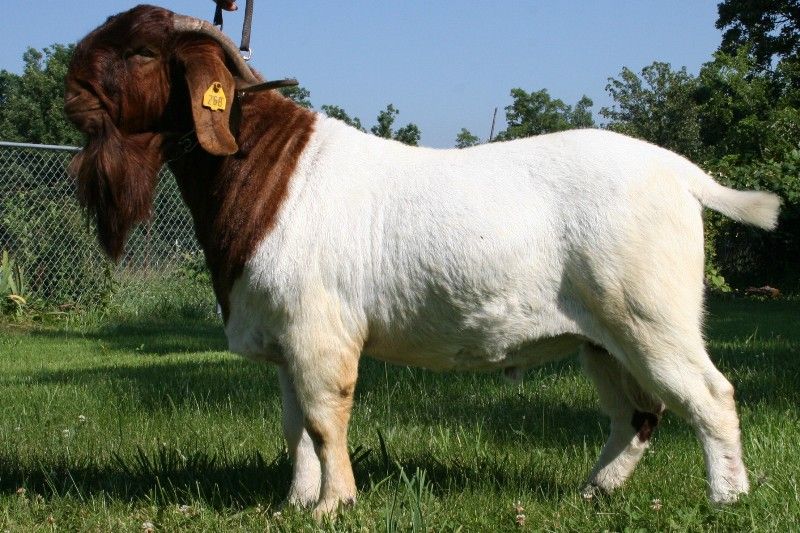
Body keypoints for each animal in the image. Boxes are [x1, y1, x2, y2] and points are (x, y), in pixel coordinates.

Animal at [65, 5, 781, 518]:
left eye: (140, 50)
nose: (70, 87)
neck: (264, 167)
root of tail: (681, 173)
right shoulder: (286, 335)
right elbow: (294, 425)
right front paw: (293, 504)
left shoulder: (319, 331)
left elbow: (324, 419)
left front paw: (333, 506)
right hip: (603, 338)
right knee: (637, 413)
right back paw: (594, 491)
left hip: (649, 315)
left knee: (711, 396)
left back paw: (727, 500)